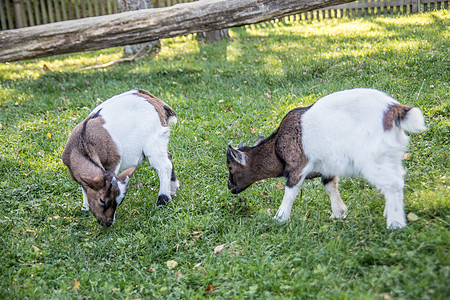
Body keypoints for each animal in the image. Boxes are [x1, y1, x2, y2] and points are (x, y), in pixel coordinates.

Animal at [61, 89, 179, 227]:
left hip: (154, 140)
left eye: (119, 201)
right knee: (169, 157)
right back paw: (173, 188)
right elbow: (84, 188)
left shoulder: (113, 161)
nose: (108, 222)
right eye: (102, 200)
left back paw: (163, 199)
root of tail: (155, 101)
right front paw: (85, 207)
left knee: (163, 166)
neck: (82, 144)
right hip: (160, 139)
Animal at [227, 88, 428, 229]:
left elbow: (291, 191)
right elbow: (330, 185)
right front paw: (339, 213)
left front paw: (279, 218)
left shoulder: (298, 166)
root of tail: (393, 109)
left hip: (372, 157)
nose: (230, 187)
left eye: (230, 167)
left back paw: (395, 224)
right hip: (390, 154)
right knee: (398, 178)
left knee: (393, 183)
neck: (277, 147)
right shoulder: (326, 167)